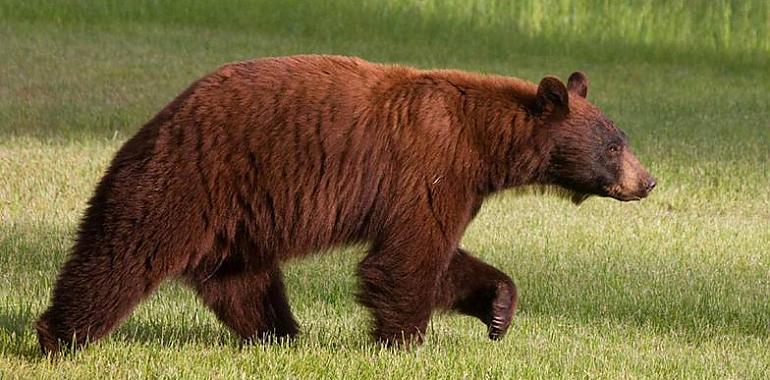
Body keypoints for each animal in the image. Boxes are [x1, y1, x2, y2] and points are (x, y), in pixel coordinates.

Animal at [34, 54, 648, 354]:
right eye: (614, 145)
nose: (648, 181)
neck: (484, 143)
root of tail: (157, 122)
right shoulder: (431, 168)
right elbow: (407, 258)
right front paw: (402, 343)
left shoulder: (451, 187)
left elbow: (440, 257)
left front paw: (497, 308)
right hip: (186, 181)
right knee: (122, 256)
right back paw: (59, 337)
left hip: (239, 217)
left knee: (241, 280)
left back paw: (279, 335)